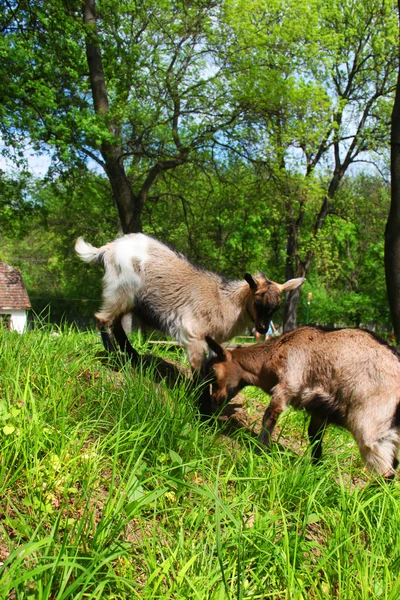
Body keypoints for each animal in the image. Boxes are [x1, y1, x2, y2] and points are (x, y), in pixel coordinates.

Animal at [206, 326, 400, 476]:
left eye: (213, 371)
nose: (214, 400)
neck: (276, 350)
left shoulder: (287, 385)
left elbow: (269, 417)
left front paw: (260, 450)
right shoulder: (319, 409)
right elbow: (314, 435)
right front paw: (316, 468)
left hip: (371, 426)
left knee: (385, 471)